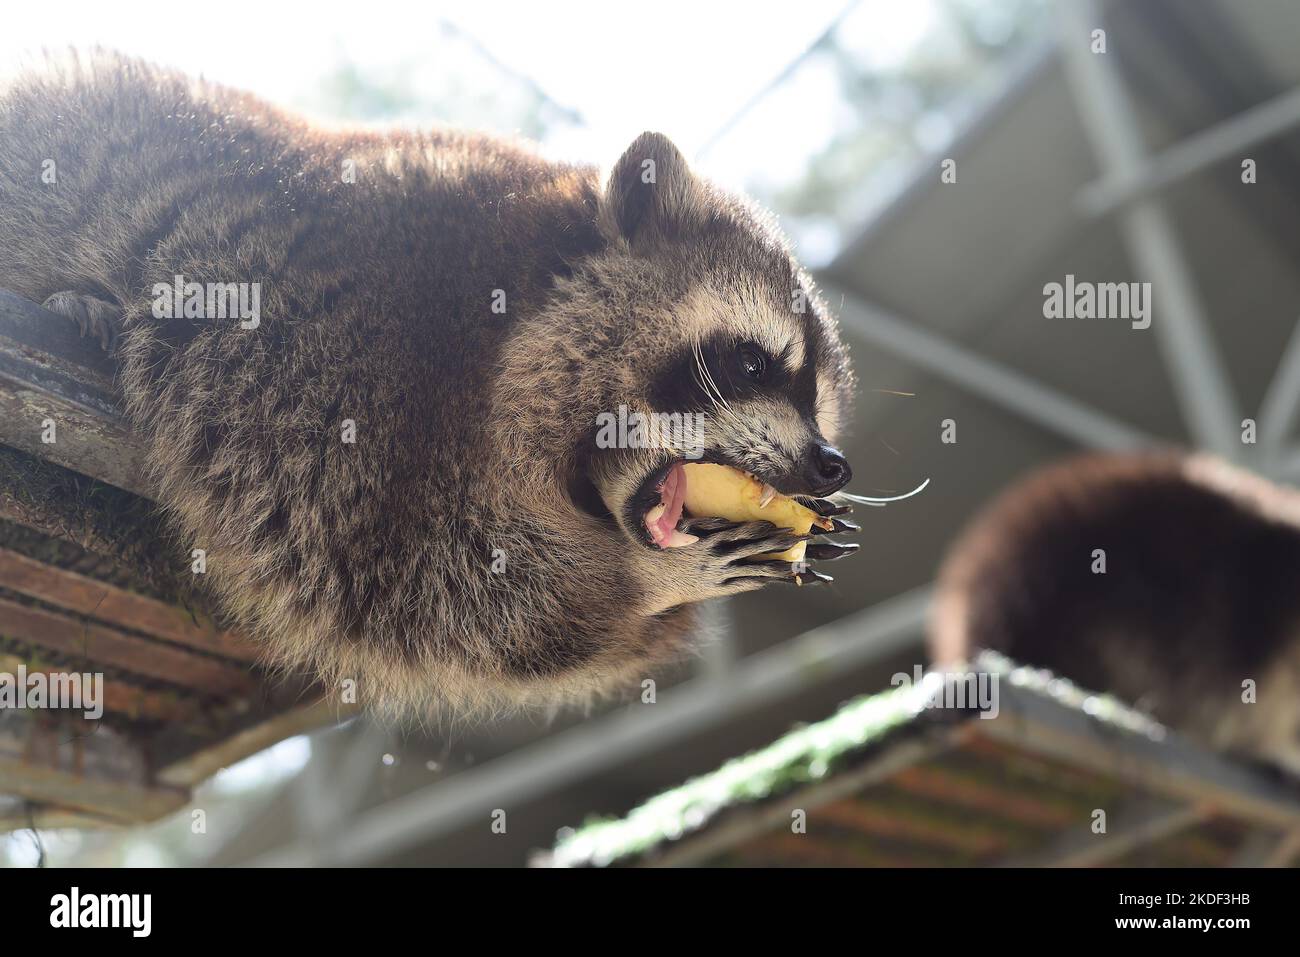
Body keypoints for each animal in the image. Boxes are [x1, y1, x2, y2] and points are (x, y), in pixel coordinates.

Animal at [0, 48, 857, 712]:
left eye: (821, 407)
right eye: (752, 362)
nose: (832, 464)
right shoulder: (337, 349)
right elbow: (406, 577)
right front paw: (645, 579)